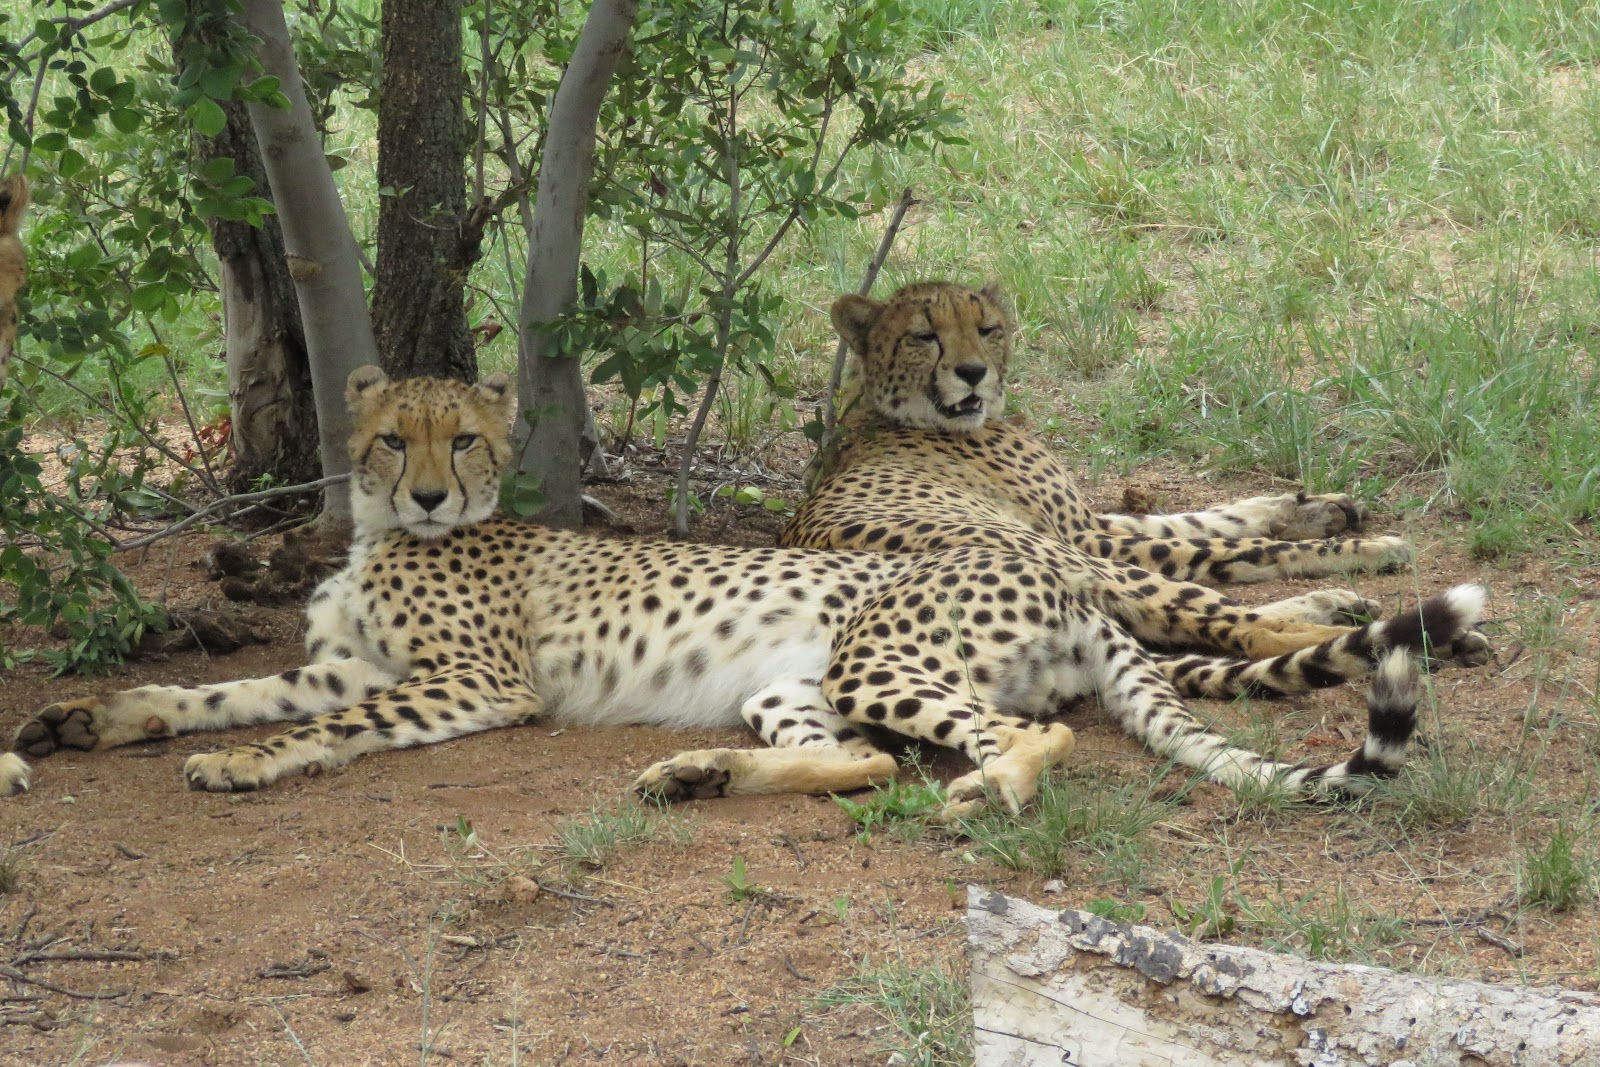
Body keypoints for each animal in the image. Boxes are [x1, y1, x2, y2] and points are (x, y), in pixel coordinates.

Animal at [4, 367, 1485, 815]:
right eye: (388, 439)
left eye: (464, 440)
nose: (424, 495)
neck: (382, 538)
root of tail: (1055, 580)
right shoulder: (341, 659)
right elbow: (214, 686)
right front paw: (101, 720)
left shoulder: (462, 685)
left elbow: (313, 724)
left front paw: (244, 764)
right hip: (796, 678)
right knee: (857, 759)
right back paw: (697, 773)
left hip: (886, 653)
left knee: (1024, 736)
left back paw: (981, 795)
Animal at [782, 280, 1492, 673]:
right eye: (923, 336)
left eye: (987, 329)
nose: (973, 373)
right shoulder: (1086, 536)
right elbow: (1236, 546)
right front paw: (1370, 546)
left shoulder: (1091, 522)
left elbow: (1211, 521)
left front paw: (1320, 508)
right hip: (1071, 560)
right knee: (1243, 626)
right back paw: (1430, 638)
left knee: (1216, 611)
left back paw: (1344, 606)